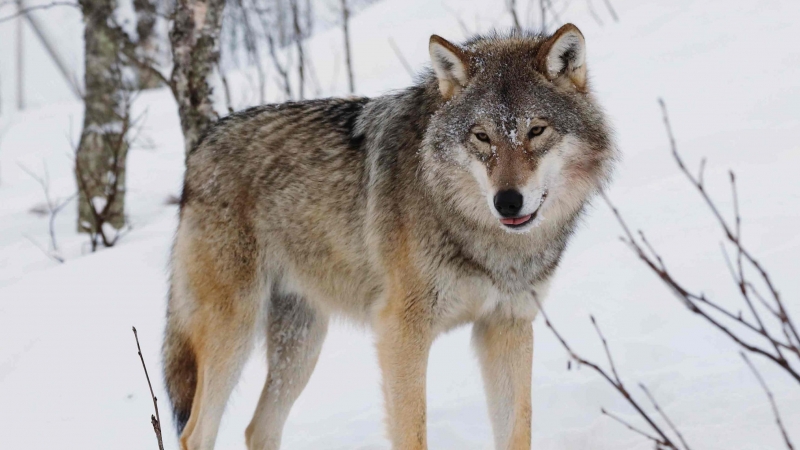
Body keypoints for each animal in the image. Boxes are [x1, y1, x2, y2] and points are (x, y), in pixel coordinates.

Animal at [161, 23, 612, 450]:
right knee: (195, 433)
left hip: (302, 344)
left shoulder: (507, 325)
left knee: (259, 429)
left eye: (536, 130)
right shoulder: (400, 331)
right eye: (482, 136)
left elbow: (517, 431)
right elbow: (412, 433)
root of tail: (200, 148)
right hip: (234, 331)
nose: (507, 202)